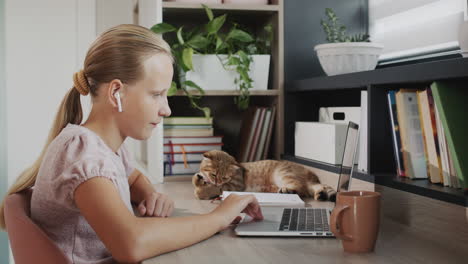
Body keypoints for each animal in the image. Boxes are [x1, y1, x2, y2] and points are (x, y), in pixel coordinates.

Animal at [193, 150, 336, 201]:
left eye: (224, 177)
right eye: (213, 174)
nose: (217, 181)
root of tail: (310, 174)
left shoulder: (236, 185)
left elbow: (217, 188)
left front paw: (203, 190)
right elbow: (196, 178)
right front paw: (199, 180)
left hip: (283, 174)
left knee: (301, 188)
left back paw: (287, 190)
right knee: (313, 189)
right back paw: (320, 195)